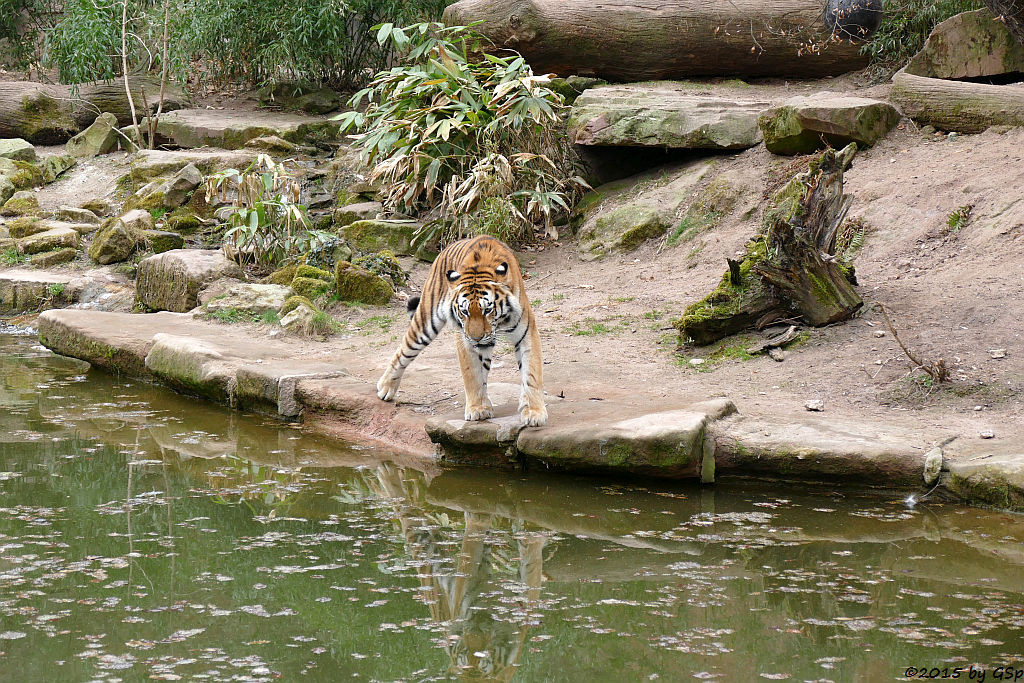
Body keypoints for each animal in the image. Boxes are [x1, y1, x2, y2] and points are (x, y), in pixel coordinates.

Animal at [376, 235, 548, 428]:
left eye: (487, 310)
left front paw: (534, 412)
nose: (476, 337)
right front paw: (477, 409)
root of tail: (445, 249)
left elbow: (531, 374)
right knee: (403, 351)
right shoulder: (464, 339)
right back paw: (385, 388)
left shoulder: (526, 333)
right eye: (465, 312)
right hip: (425, 323)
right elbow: (471, 374)